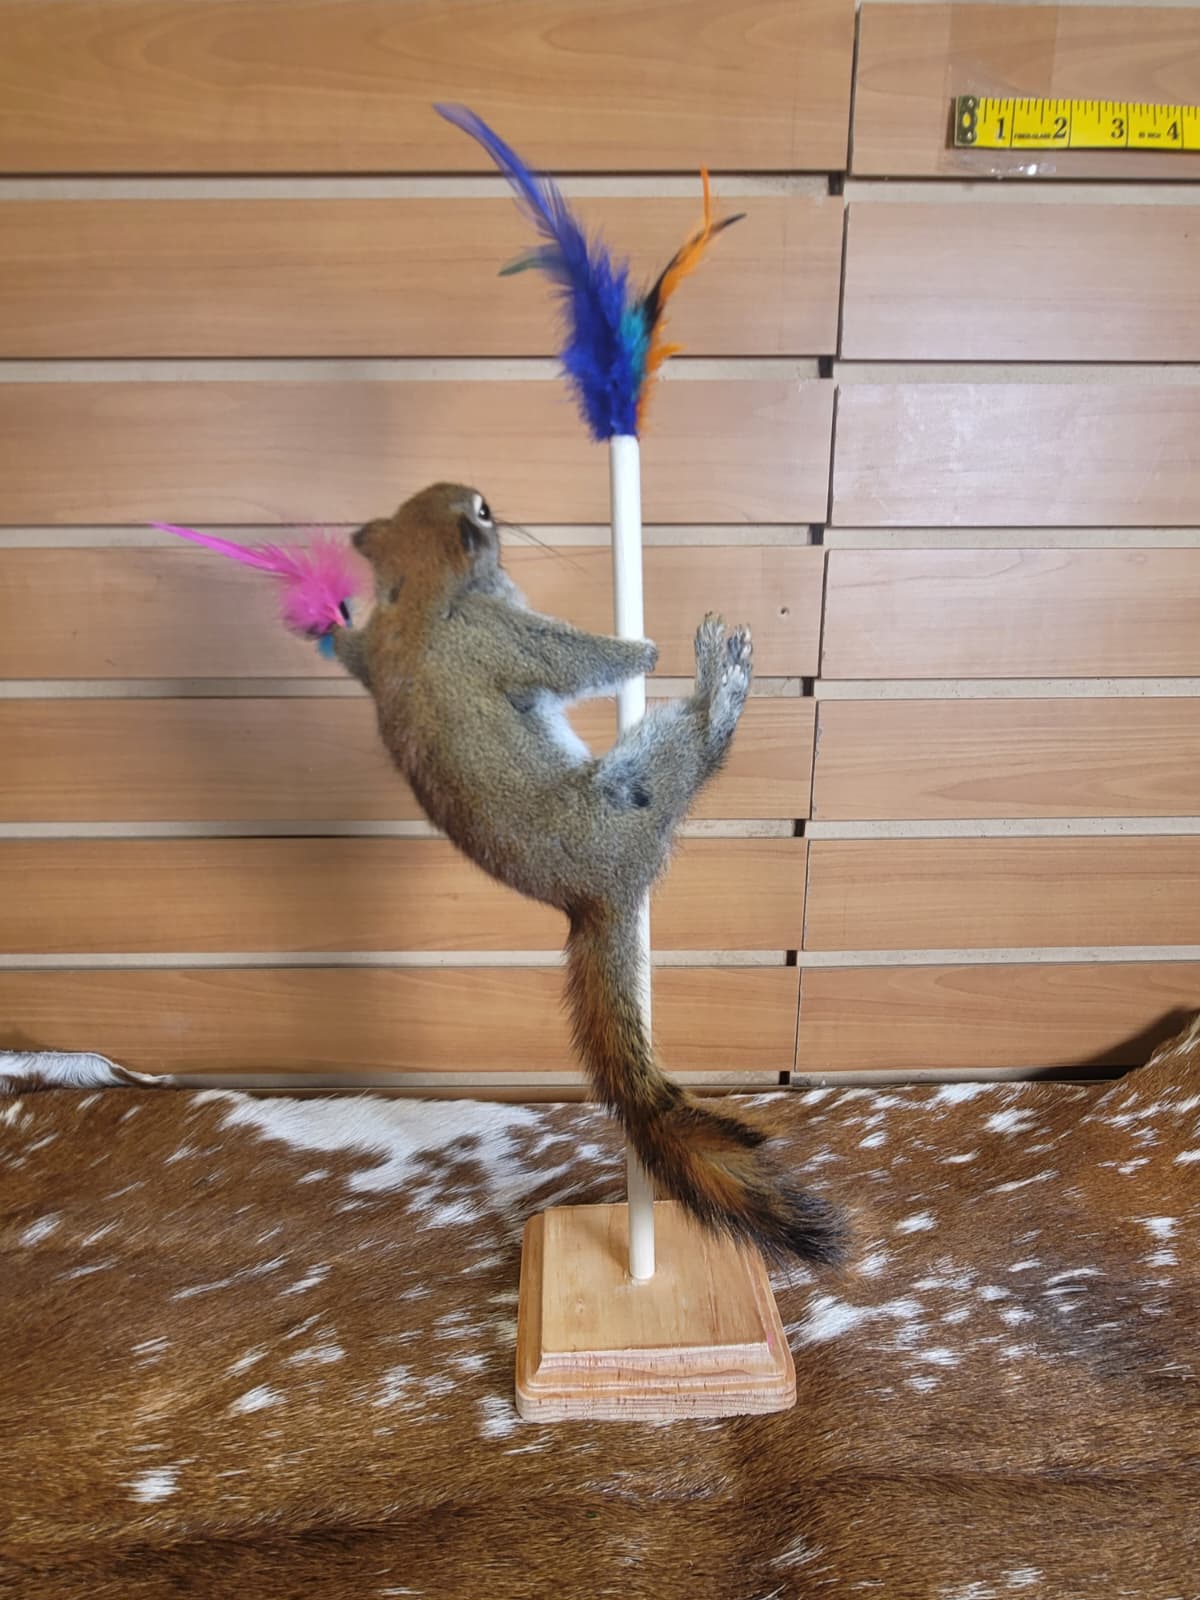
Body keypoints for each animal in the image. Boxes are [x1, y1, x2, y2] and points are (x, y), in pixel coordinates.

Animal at [333, 483, 845, 1265]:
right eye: (480, 511)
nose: (490, 500)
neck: (416, 593)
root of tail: (599, 897)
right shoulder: (504, 635)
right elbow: (589, 660)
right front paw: (645, 649)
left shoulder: (378, 644)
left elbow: (350, 650)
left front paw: (330, 627)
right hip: (639, 788)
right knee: (697, 750)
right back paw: (720, 685)